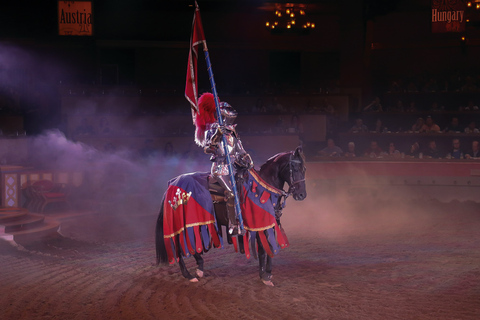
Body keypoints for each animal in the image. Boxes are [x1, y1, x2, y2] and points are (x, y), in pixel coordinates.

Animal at [157, 146, 308, 286]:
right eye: (295, 168)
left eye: (304, 169)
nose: (301, 195)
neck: (263, 189)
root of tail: (172, 184)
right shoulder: (259, 224)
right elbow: (263, 249)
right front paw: (264, 276)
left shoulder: (271, 223)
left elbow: (270, 246)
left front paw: (268, 274)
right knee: (178, 246)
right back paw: (188, 275)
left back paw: (199, 268)